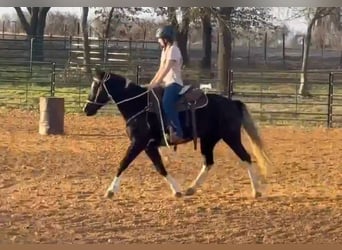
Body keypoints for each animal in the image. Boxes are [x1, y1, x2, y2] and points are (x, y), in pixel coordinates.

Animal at [83, 69, 272, 199]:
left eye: (96, 86)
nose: (86, 109)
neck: (139, 105)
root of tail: (233, 103)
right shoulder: (149, 146)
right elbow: (160, 167)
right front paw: (177, 190)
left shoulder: (138, 142)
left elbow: (123, 163)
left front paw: (110, 191)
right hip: (208, 139)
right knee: (208, 162)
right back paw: (191, 188)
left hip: (231, 137)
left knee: (245, 157)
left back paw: (256, 191)